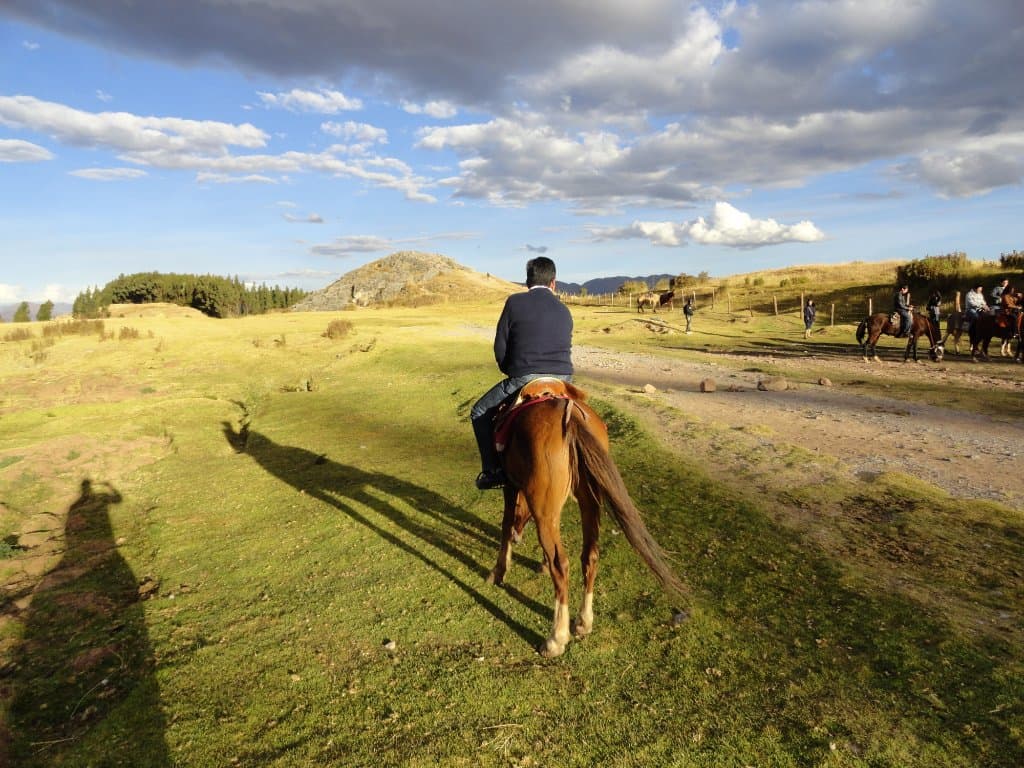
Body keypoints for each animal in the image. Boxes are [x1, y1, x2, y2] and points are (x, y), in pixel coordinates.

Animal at [488, 379, 686, 657]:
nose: (520, 537)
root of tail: (570, 416)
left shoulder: (511, 485)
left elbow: (505, 524)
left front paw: (499, 571)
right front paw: (538, 564)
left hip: (548, 508)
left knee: (562, 563)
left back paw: (556, 638)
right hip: (587, 502)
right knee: (589, 555)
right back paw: (583, 622)